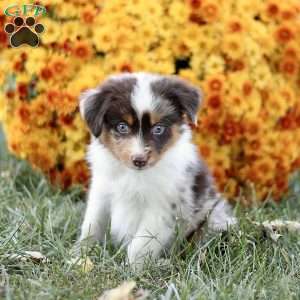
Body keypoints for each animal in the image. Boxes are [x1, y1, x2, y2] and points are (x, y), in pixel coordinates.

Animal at [77, 71, 237, 268]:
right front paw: (80, 257)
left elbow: (140, 243)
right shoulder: (101, 192)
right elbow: (92, 226)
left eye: (158, 129)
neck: (135, 175)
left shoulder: (162, 207)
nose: (139, 160)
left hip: (213, 218)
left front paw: (130, 269)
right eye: (122, 127)